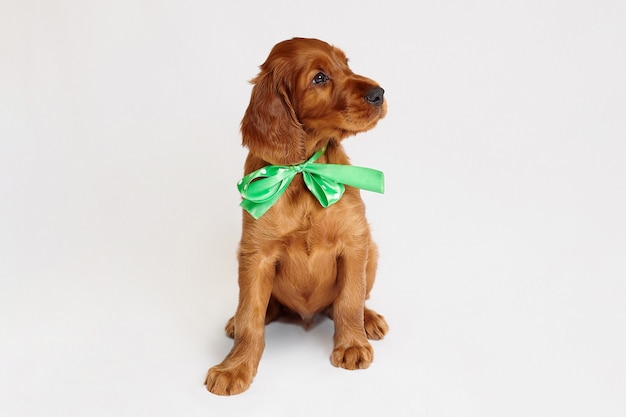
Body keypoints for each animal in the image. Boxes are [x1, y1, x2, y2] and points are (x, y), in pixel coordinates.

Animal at [205, 37, 388, 394]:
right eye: (319, 78)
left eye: (346, 64)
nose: (379, 93)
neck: (303, 170)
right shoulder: (256, 254)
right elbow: (250, 317)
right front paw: (235, 367)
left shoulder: (354, 241)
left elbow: (349, 300)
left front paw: (352, 345)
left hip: (372, 251)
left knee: (355, 300)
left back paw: (369, 320)